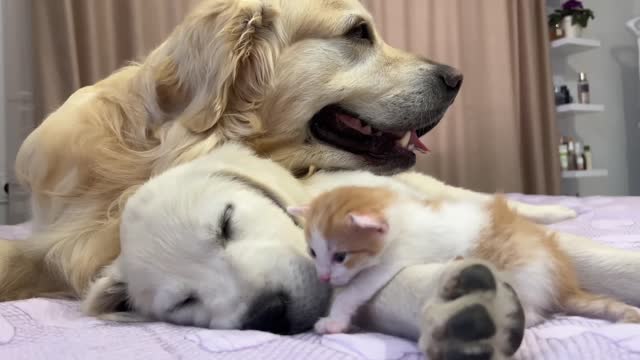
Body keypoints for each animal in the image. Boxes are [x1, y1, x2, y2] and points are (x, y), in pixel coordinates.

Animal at [288, 186, 640, 334]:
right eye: (313, 253)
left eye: (341, 256)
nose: (323, 277)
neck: (402, 217)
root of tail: (564, 285)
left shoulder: (396, 258)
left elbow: (356, 290)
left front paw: (333, 320)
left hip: (520, 272)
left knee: (534, 313)